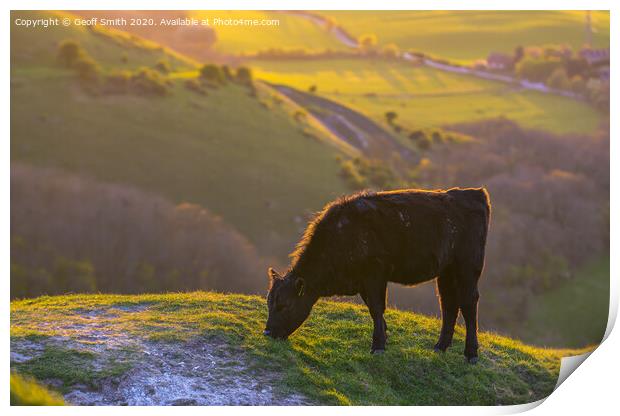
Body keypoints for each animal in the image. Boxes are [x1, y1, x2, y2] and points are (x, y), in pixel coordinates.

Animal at [264, 187, 492, 362]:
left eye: (284, 305)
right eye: (269, 302)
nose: (267, 333)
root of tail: (473, 193)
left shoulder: (375, 275)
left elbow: (376, 308)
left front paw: (378, 346)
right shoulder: (364, 282)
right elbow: (374, 309)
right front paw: (385, 337)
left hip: (468, 267)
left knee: (469, 303)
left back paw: (471, 354)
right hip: (446, 272)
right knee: (449, 304)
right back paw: (440, 346)